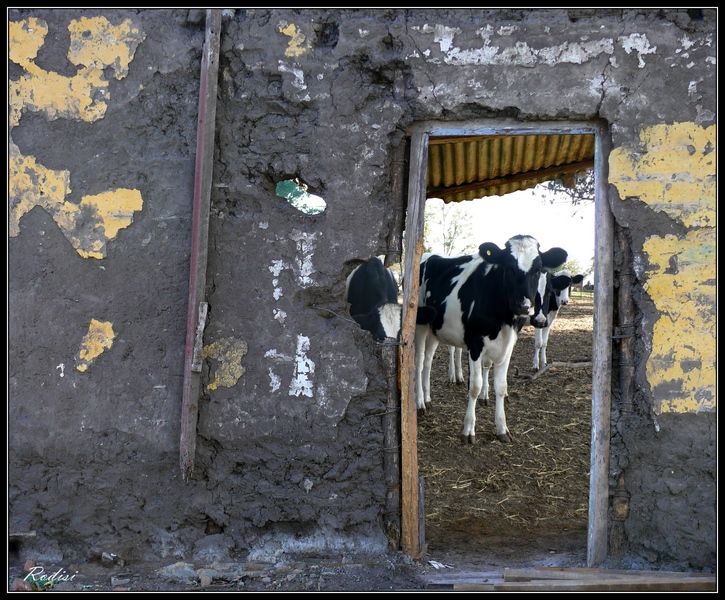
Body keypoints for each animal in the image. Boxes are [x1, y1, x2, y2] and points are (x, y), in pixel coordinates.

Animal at [412, 237, 564, 442]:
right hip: (420, 325)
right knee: (419, 362)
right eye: (509, 267)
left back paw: (427, 399)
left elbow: (501, 386)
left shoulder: (508, 345)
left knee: (428, 362)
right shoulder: (475, 344)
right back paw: (420, 403)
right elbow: (475, 386)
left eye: (538, 268)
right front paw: (468, 430)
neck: (504, 319)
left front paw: (502, 428)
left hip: (435, 328)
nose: (524, 306)